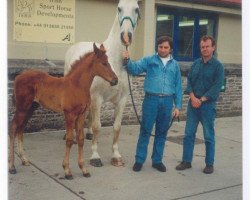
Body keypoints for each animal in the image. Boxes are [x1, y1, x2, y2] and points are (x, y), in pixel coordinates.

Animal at [9, 43, 118, 179]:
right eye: (104, 63)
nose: (115, 80)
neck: (77, 85)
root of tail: (18, 77)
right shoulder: (69, 115)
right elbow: (70, 140)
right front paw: (67, 170)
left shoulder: (81, 115)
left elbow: (81, 139)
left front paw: (84, 169)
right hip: (22, 108)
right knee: (13, 128)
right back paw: (12, 167)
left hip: (30, 108)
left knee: (21, 128)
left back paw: (24, 159)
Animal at [64, 0, 140, 167]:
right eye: (119, 8)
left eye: (137, 9)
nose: (126, 36)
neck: (115, 61)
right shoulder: (97, 97)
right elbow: (97, 126)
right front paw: (95, 157)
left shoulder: (122, 99)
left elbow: (116, 127)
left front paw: (116, 156)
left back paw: (87, 134)